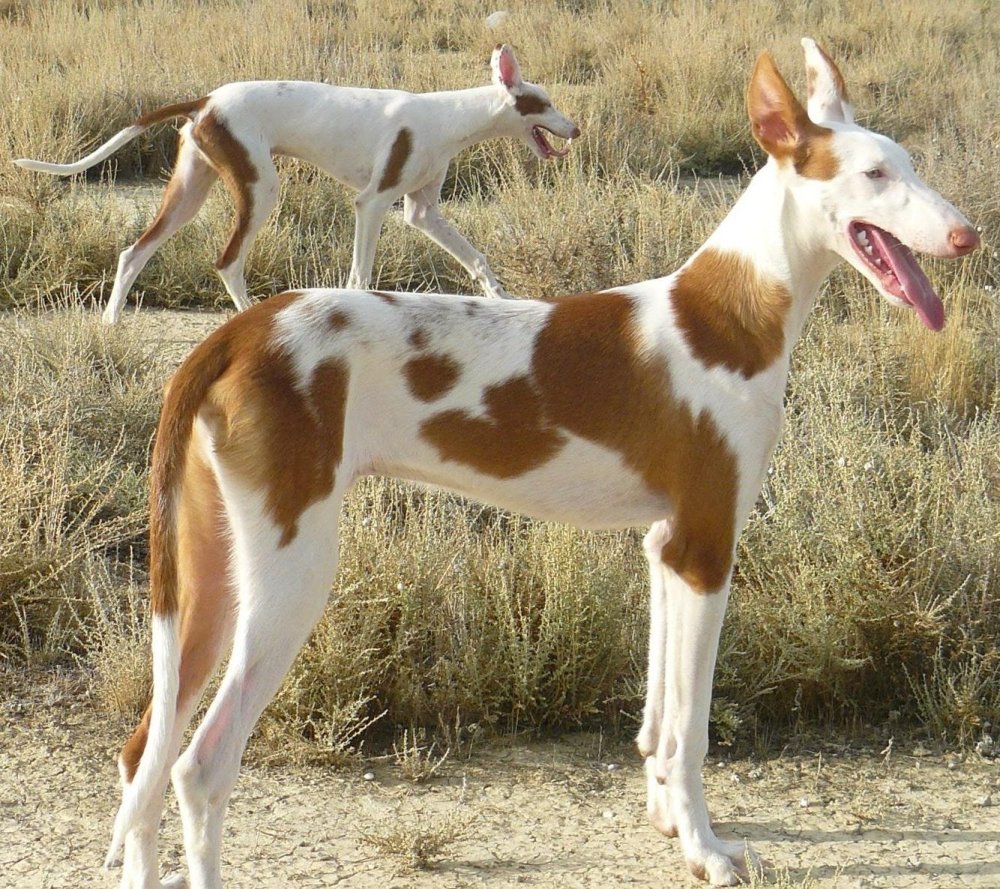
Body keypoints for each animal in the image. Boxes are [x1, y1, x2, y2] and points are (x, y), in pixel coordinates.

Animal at [13, 44, 580, 322]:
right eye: (546, 103)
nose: (575, 129)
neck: (450, 116)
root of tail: (205, 100)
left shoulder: (424, 212)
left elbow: (477, 259)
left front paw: (502, 299)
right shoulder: (372, 204)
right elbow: (359, 277)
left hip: (190, 190)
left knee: (134, 252)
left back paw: (110, 323)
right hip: (259, 189)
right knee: (228, 261)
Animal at [105, 40, 980, 888]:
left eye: (911, 165)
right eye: (875, 174)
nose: (968, 235)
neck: (729, 315)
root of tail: (235, 334)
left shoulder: (665, 545)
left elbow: (659, 719)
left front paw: (667, 817)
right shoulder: (706, 547)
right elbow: (692, 727)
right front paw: (706, 848)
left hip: (210, 575)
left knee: (144, 748)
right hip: (290, 574)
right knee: (200, 766)